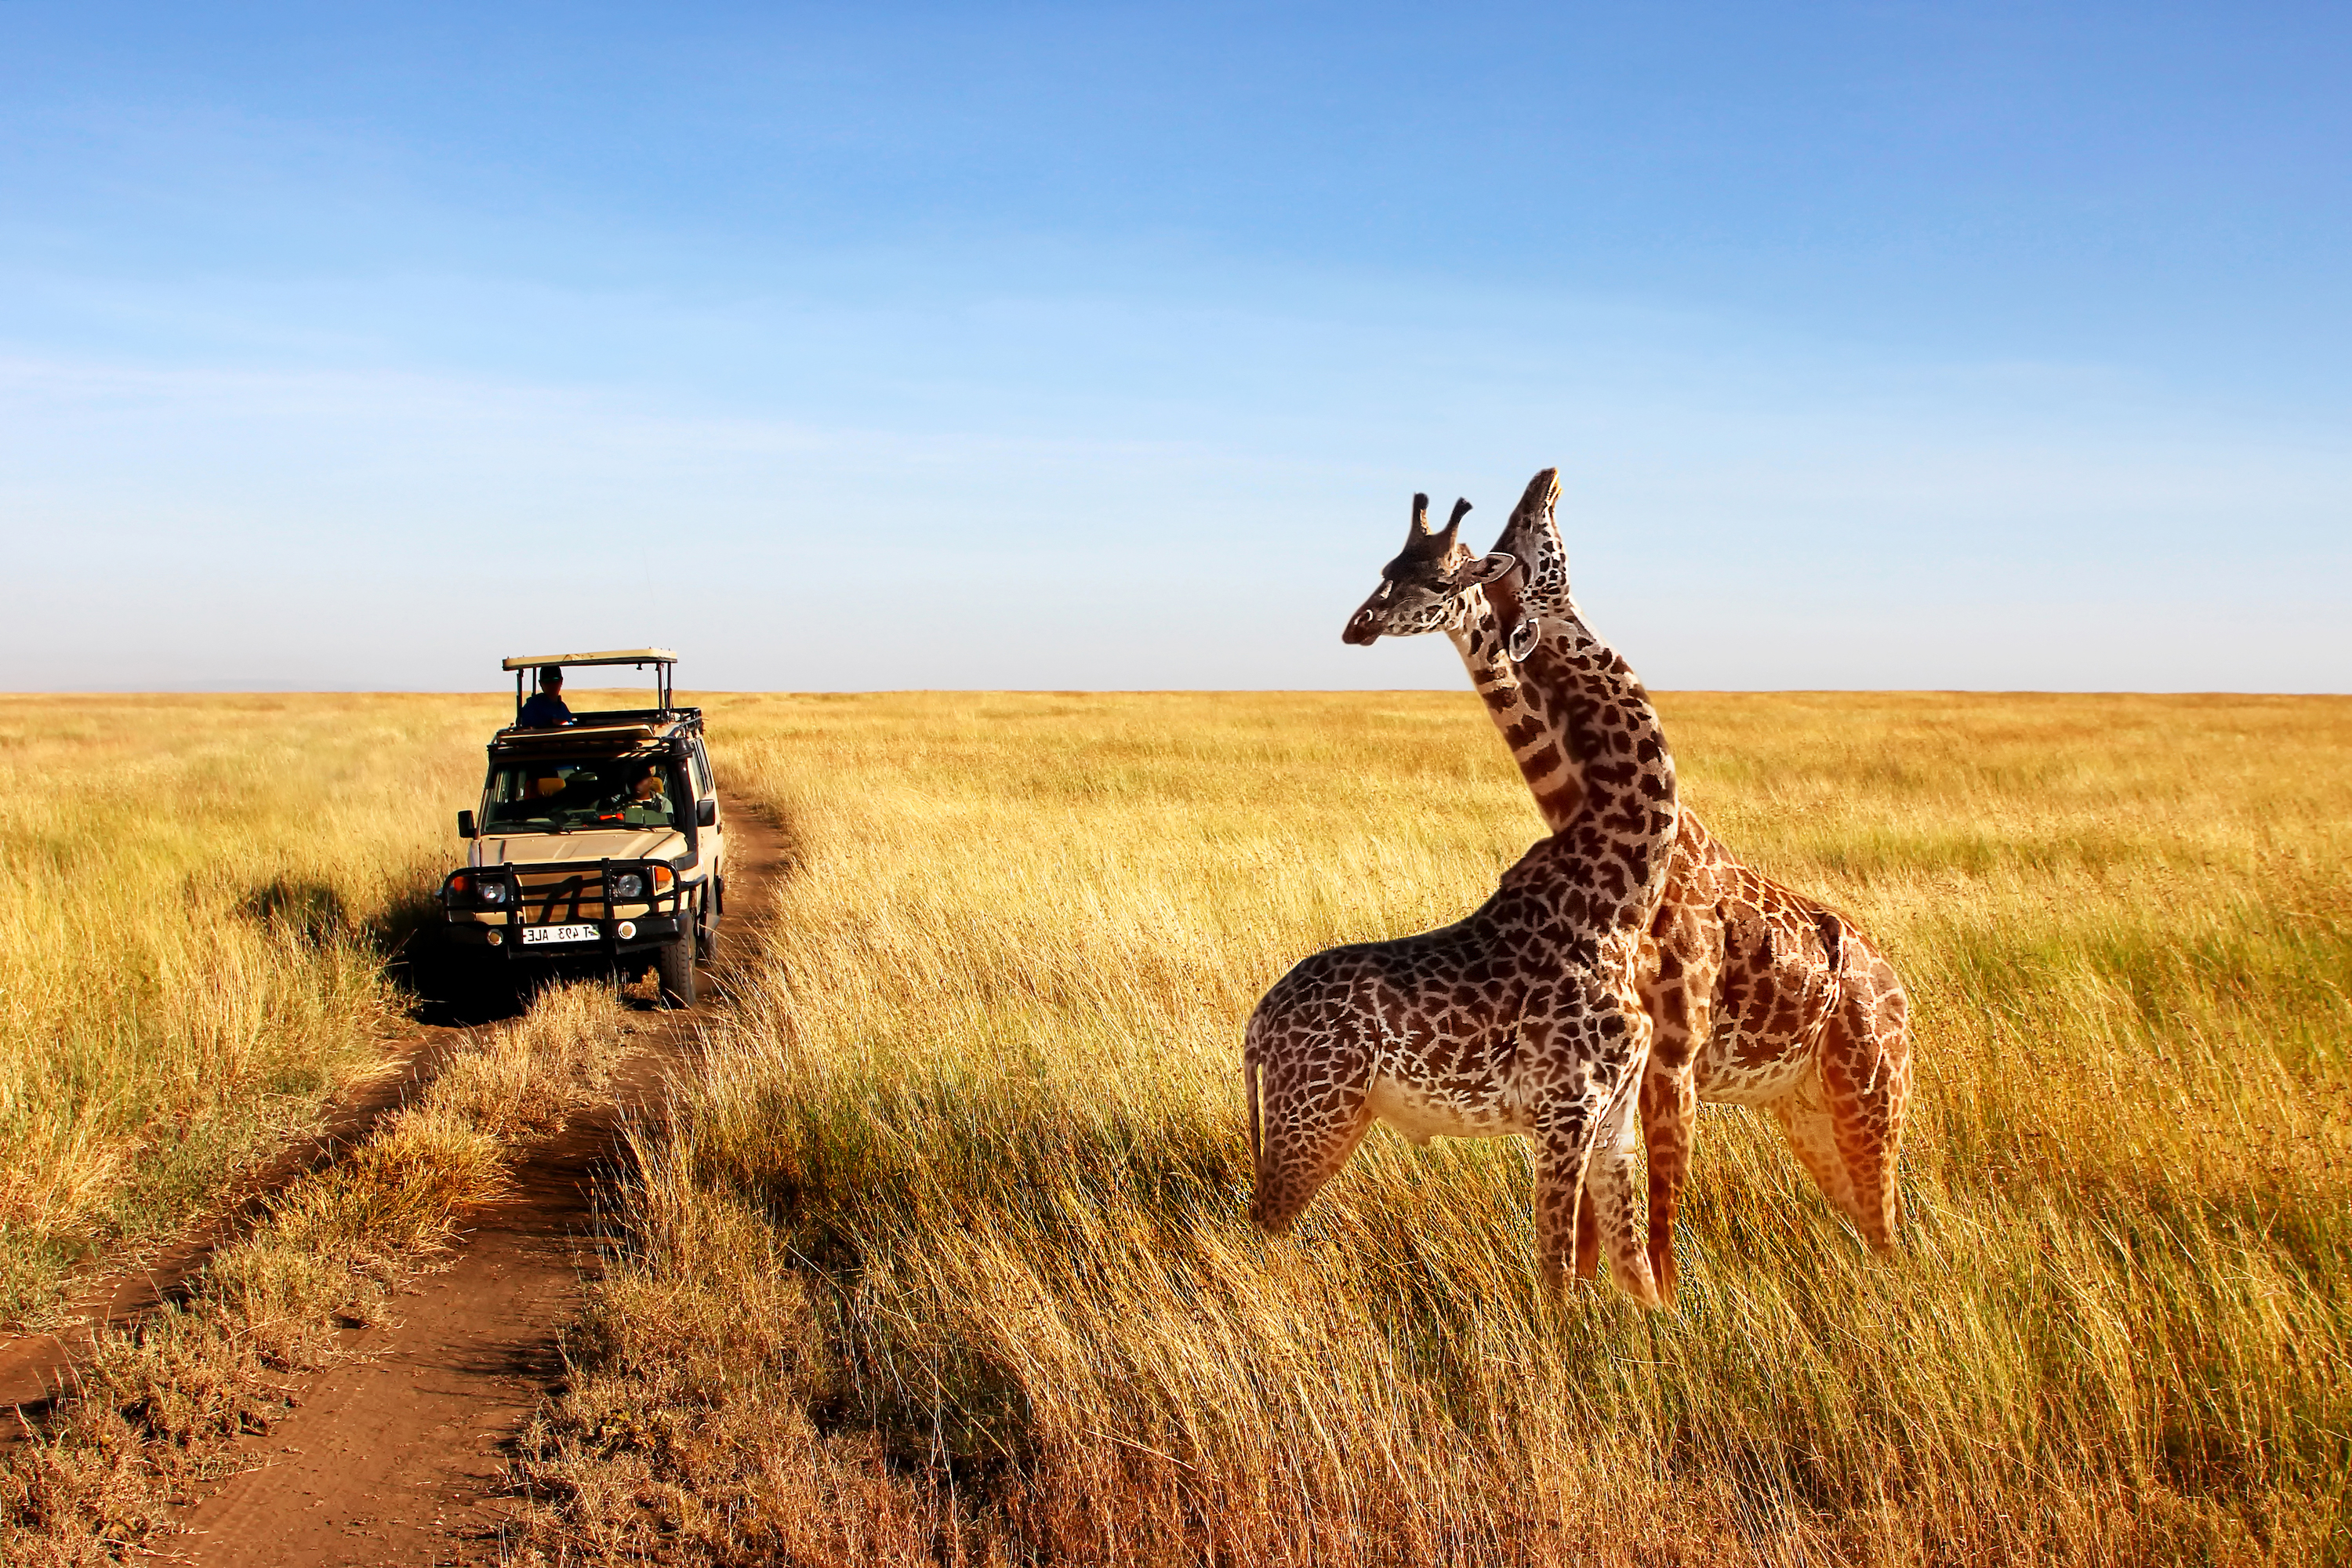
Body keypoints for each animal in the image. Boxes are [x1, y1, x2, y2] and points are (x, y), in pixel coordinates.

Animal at [1242, 521, 1684, 1307]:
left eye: (1440, 575)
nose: (1360, 624)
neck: (1621, 903)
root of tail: (1258, 1024)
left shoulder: (1615, 1119)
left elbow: (1636, 1274)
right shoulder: (1564, 1109)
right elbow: (1556, 1272)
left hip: (1327, 1116)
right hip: (1314, 1113)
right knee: (1261, 1226)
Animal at [1345, 472, 1910, 1298]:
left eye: (1445, 575)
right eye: (1388, 566)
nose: (1357, 626)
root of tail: (1897, 984)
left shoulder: (1669, 1059)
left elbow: (1653, 1220)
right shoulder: (1615, 1068)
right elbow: (1600, 1222)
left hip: (1871, 1093)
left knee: (1887, 1222)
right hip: (1805, 1106)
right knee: (1869, 1223)